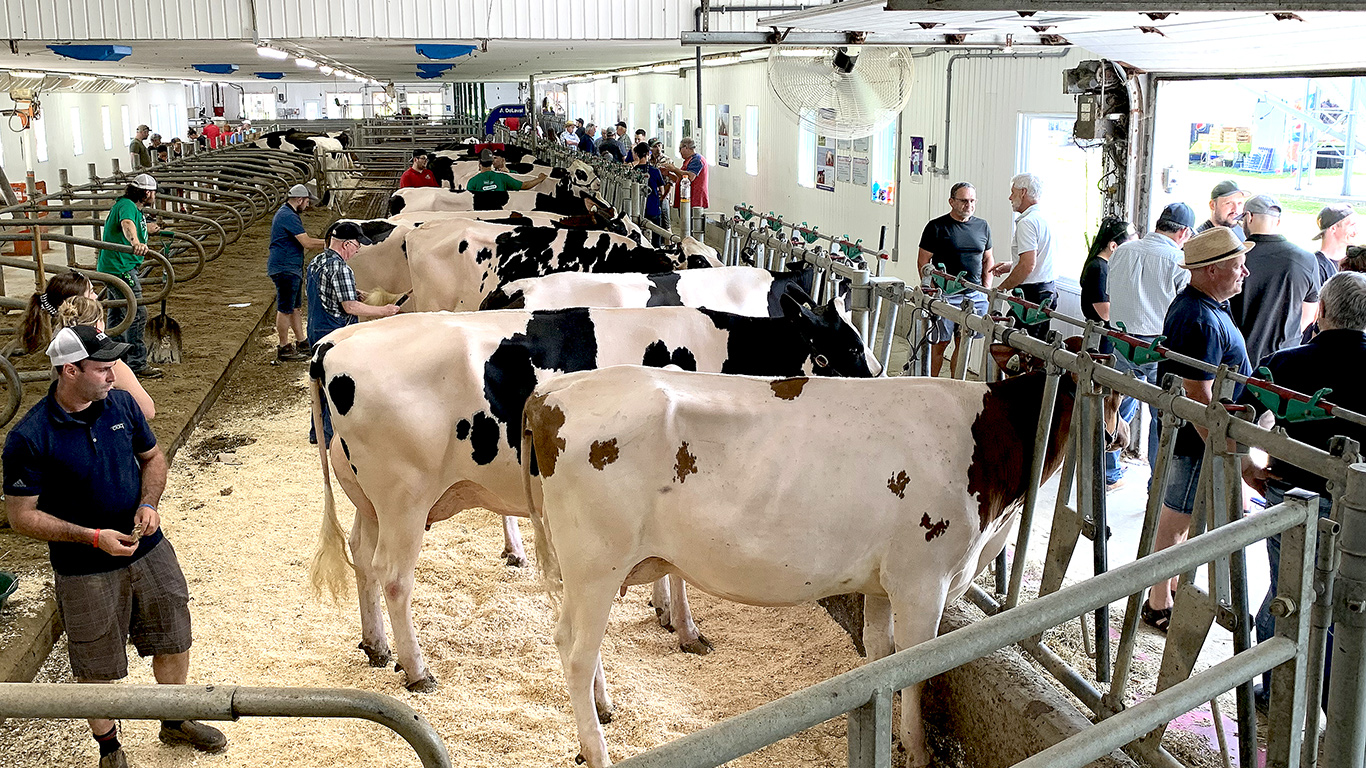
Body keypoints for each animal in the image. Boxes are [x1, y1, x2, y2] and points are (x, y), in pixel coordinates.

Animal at [307, 302, 885, 691]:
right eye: (836, 354)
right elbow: (680, 571)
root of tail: (332, 345)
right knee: (394, 577)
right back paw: (417, 669)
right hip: (404, 498)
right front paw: (686, 628)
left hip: (368, 498)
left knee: (362, 557)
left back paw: (376, 646)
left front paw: (664, 611)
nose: (876, 391)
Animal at [519, 355, 1120, 759]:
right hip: (596, 564)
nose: (1117, 441)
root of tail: (554, 392)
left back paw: (604, 712)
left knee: (575, 640)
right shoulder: (922, 580)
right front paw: (919, 750)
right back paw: (597, 750)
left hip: (584, 570)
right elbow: (916, 669)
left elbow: (882, 658)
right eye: (1111, 399)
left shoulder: (884, 584)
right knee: (574, 651)